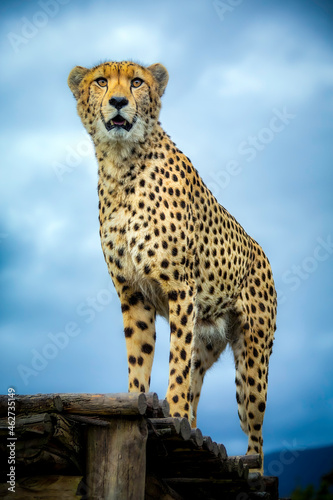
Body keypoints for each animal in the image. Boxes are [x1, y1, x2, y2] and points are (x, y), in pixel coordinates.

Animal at [67, 59, 274, 468]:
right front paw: (140, 403)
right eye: (101, 81)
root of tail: (262, 251)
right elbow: (139, 358)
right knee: (198, 380)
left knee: (255, 428)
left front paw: (174, 415)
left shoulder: (181, 290)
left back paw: (250, 464)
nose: (118, 101)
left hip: (253, 359)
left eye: (136, 82)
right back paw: (193, 426)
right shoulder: (133, 294)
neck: (121, 165)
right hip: (208, 338)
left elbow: (175, 362)